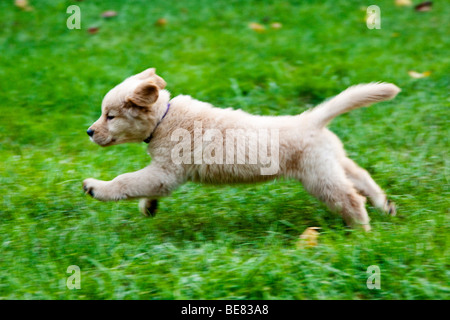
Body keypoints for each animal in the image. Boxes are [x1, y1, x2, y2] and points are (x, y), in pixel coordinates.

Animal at [82, 69, 400, 231]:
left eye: (110, 116)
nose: (89, 132)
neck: (164, 118)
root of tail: (311, 119)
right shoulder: (161, 173)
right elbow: (142, 187)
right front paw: (149, 207)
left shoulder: (165, 171)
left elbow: (126, 181)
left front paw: (96, 187)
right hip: (332, 163)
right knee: (361, 177)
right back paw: (385, 206)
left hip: (319, 177)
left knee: (351, 198)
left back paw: (361, 234)